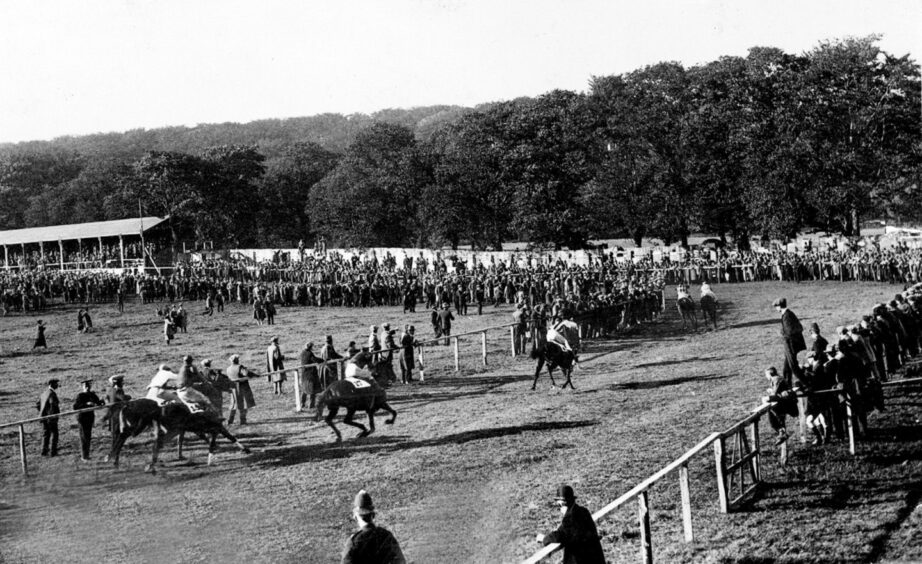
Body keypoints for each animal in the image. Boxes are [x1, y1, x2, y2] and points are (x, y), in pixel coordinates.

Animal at [107, 398, 248, 474]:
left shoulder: (211, 429)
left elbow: (226, 438)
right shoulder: (214, 429)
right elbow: (220, 440)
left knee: (153, 444)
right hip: (166, 432)